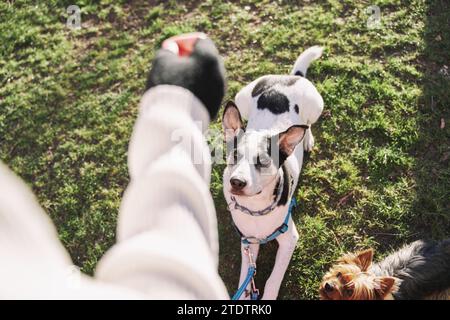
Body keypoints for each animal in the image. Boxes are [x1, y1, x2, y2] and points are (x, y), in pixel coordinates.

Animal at [222, 46, 324, 298]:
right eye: (234, 156)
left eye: (263, 161)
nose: (236, 182)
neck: (256, 209)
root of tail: (289, 77)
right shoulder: (248, 242)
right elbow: (245, 277)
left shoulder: (289, 239)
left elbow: (273, 279)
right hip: (241, 97)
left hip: (316, 106)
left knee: (307, 124)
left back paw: (306, 139)